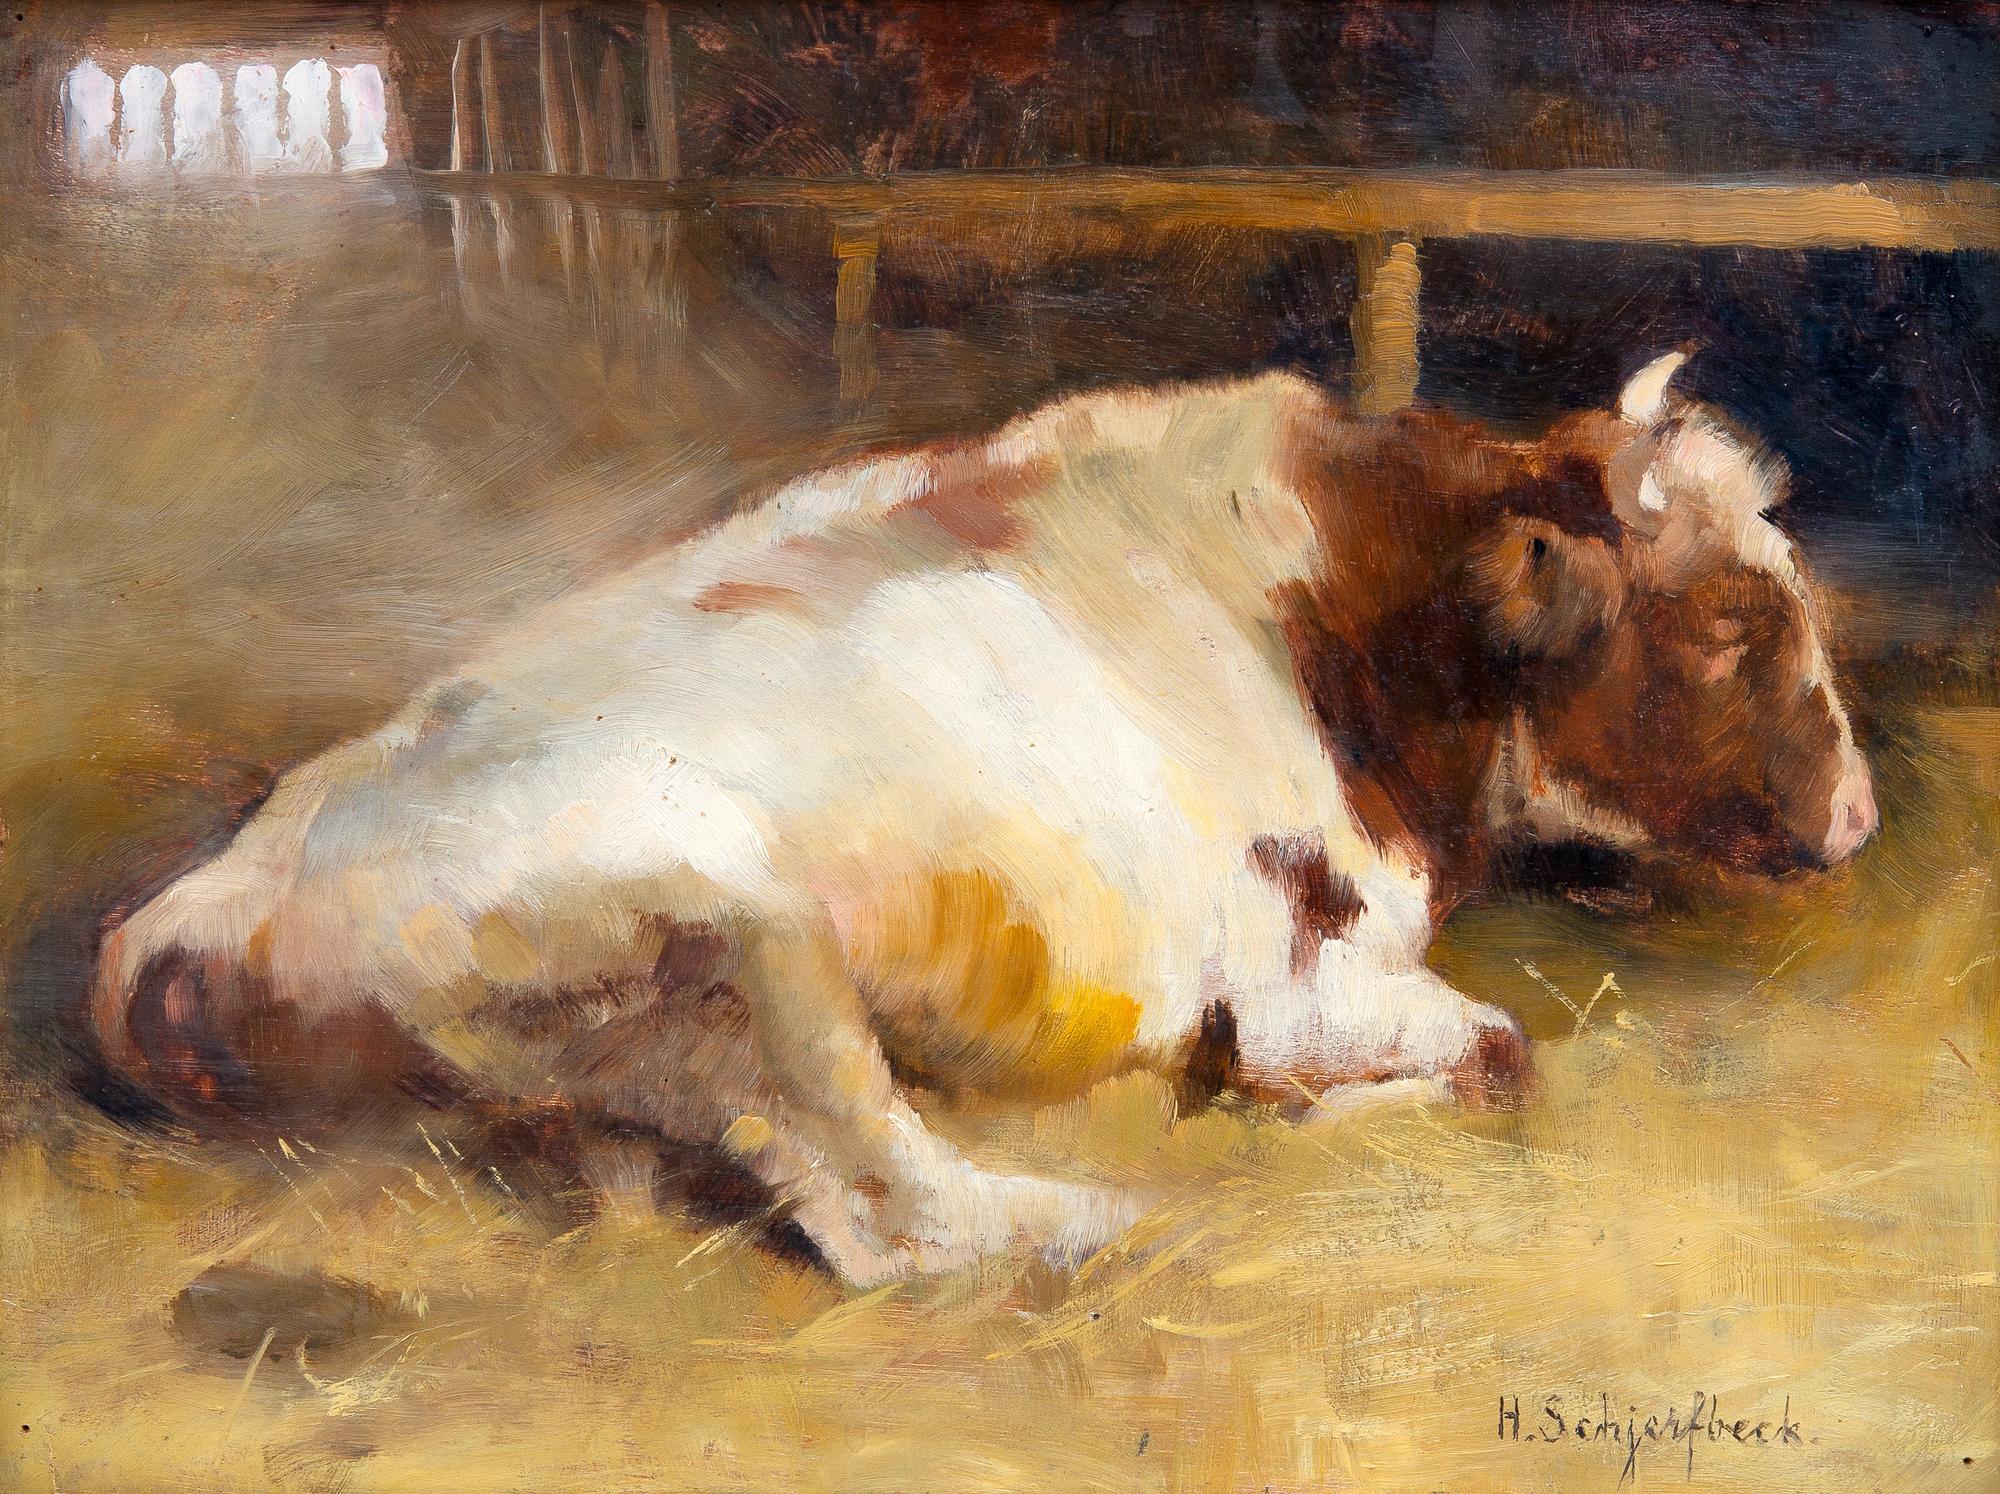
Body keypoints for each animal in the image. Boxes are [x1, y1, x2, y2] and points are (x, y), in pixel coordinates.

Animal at [90, 351, 1875, 1284]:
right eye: (1725, 624)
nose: (1860, 819)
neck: (1347, 609)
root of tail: (204, 904)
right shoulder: (1300, 979)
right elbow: (1500, 1053)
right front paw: (1278, 1109)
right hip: (736, 932)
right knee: (896, 1211)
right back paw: (1097, 1215)